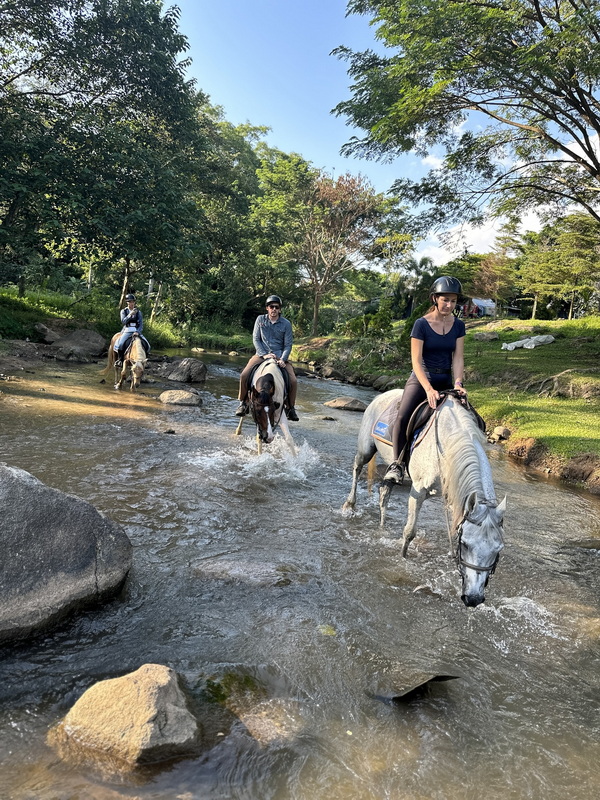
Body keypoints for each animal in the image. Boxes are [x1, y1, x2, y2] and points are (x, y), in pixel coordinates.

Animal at [342, 390, 506, 608]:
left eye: (498, 550)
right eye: (465, 544)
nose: (473, 599)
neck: (448, 445)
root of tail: (382, 396)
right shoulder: (418, 491)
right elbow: (409, 532)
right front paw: (402, 560)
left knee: (384, 492)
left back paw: (382, 527)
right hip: (366, 449)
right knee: (357, 467)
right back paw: (350, 505)